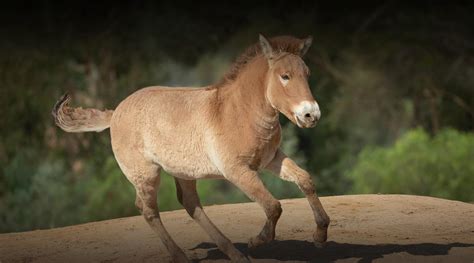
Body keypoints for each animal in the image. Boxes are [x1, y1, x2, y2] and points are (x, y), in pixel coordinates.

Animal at [53, 34, 330, 262]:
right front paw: (256, 241)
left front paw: (320, 235)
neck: (239, 112)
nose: (311, 115)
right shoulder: (238, 171)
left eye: (307, 74)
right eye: (285, 76)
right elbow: (273, 206)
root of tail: (115, 113)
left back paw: (234, 254)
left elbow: (305, 180)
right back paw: (181, 256)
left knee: (190, 204)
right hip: (146, 174)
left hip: (183, 172)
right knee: (148, 210)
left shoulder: (271, 159)